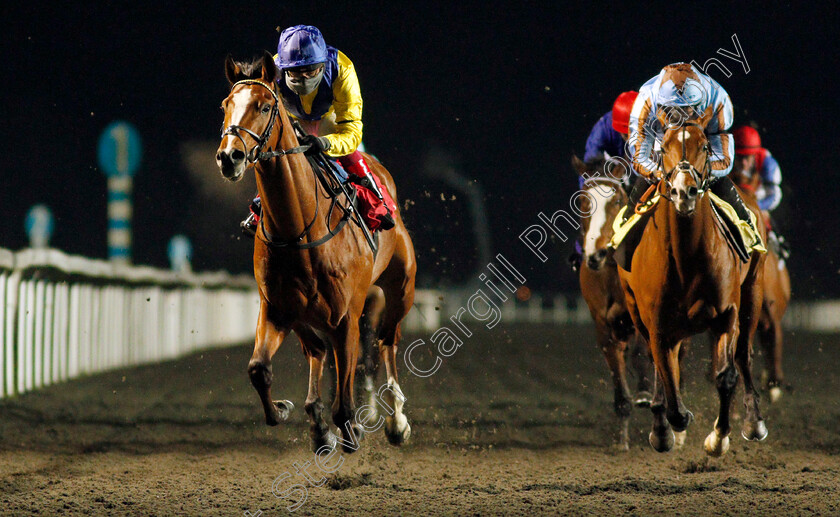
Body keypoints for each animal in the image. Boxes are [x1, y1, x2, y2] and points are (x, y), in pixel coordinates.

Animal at [215, 50, 416, 450]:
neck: (298, 231)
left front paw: (350, 429)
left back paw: (396, 420)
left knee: (386, 342)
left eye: (264, 106)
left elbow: (346, 395)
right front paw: (289, 411)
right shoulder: (277, 308)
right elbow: (258, 368)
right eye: (226, 105)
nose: (229, 157)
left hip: (399, 290)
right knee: (319, 352)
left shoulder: (347, 315)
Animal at [572, 155, 656, 450]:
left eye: (617, 200)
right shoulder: (603, 325)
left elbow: (642, 355)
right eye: (583, 201)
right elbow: (617, 376)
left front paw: (645, 394)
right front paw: (622, 439)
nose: (595, 254)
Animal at [616, 125, 768, 456]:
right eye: (663, 148)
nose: (683, 191)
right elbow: (667, 377)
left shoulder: (727, 314)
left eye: (704, 147)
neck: (686, 259)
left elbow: (726, 376)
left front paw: (718, 438)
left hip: (753, 290)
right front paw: (667, 427)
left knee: (744, 355)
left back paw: (754, 422)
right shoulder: (656, 323)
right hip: (638, 312)